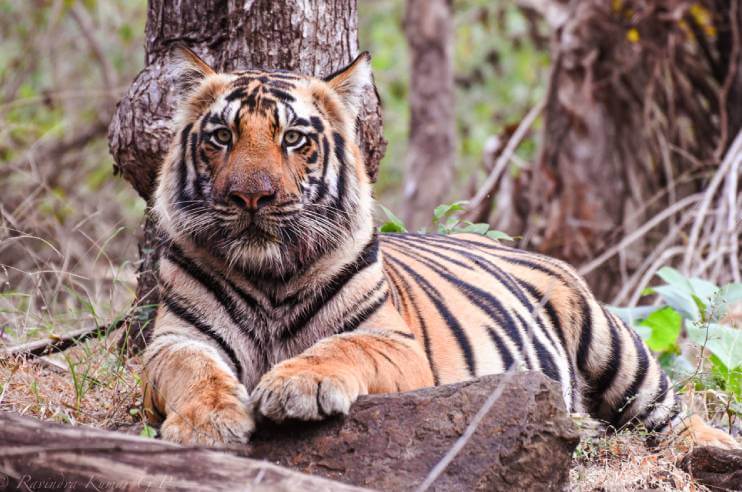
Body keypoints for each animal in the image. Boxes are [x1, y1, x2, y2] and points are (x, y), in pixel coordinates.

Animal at [142, 45, 737, 450]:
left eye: (293, 139)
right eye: (222, 137)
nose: (251, 196)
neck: (268, 275)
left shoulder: (395, 343)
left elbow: (341, 347)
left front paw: (297, 384)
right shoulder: (174, 340)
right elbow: (191, 370)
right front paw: (207, 423)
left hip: (612, 343)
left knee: (673, 412)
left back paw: (710, 447)